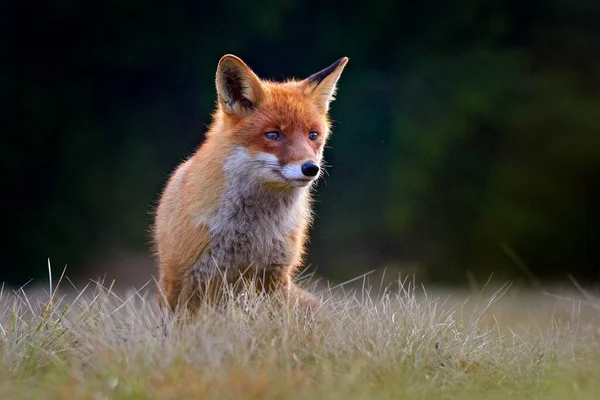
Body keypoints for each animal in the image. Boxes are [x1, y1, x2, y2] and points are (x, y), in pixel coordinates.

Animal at [154, 54, 346, 314]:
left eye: (312, 135)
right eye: (273, 135)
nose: (311, 168)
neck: (253, 230)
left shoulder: (275, 275)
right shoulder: (179, 274)